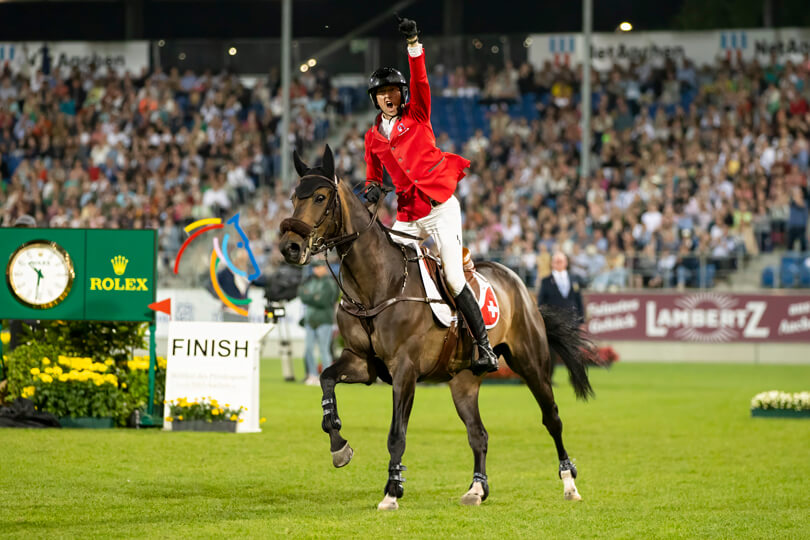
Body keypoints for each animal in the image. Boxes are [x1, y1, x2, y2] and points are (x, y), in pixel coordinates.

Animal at [278, 146, 592, 508]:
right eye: (292, 197)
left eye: (319, 196)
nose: (290, 247)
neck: (377, 284)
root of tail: (519, 283)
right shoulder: (361, 361)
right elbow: (326, 381)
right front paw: (339, 446)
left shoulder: (404, 369)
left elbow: (396, 434)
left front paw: (392, 491)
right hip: (464, 380)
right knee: (478, 433)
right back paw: (476, 489)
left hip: (530, 362)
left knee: (551, 418)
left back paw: (569, 483)